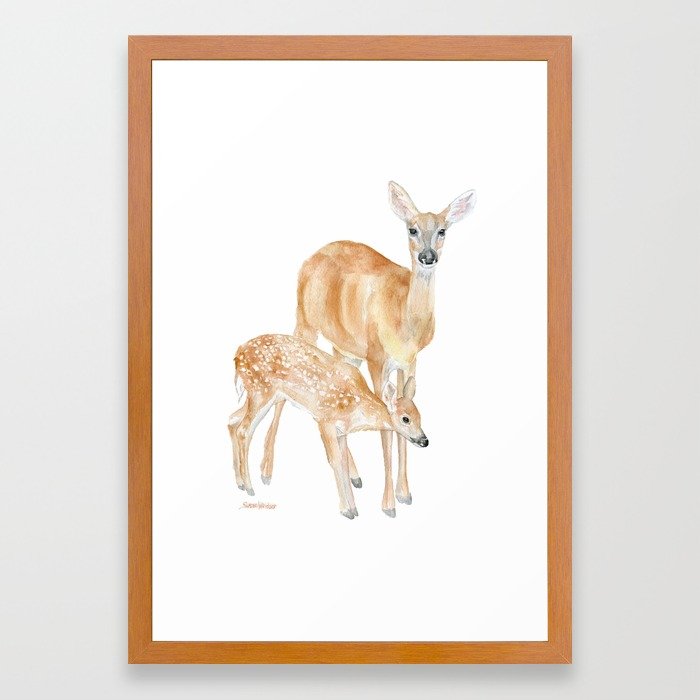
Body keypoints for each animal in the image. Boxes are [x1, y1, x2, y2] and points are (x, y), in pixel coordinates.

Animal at [228, 334, 428, 519]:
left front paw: (355, 508)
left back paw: (239, 483)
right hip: (261, 391)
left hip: (264, 395)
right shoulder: (325, 419)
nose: (424, 440)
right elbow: (335, 461)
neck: (357, 407)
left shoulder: (341, 431)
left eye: (420, 417)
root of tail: (237, 354)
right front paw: (346, 510)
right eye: (405, 419)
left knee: (233, 420)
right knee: (244, 430)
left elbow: (344, 463)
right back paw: (249, 487)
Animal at [259, 182, 476, 516]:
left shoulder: (409, 362)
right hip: (305, 322)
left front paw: (404, 493)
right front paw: (387, 504)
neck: (403, 321)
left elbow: (403, 410)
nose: (427, 256)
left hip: (345, 350)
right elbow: (386, 427)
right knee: (286, 384)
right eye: (412, 229)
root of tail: (310, 258)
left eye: (442, 230)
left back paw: (354, 474)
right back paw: (267, 471)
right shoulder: (377, 357)